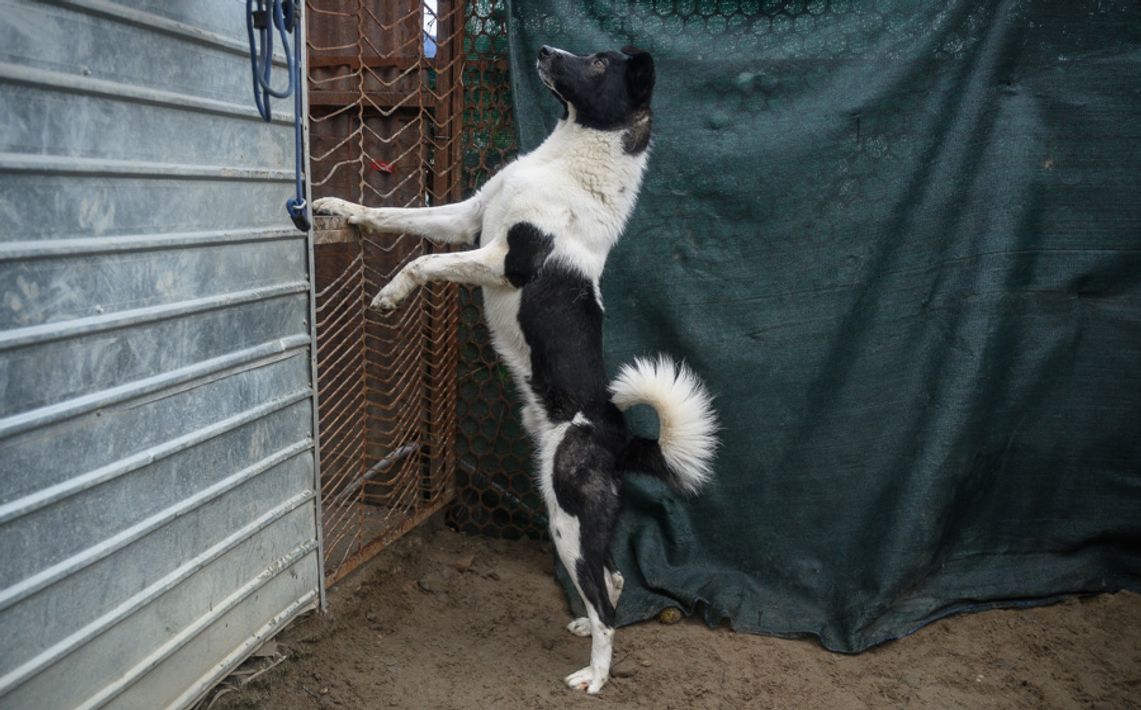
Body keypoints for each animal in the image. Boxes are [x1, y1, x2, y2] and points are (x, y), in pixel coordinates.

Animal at [313, 44, 718, 694]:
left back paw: (595, 675)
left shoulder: (504, 260)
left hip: (567, 518)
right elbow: (398, 215)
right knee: (614, 579)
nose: (548, 51)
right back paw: (582, 629)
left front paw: (390, 294)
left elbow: (423, 263)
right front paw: (338, 209)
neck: (566, 160)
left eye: (599, 63)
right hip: (579, 521)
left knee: (607, 603)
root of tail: (619, 433)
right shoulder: (469, 217)